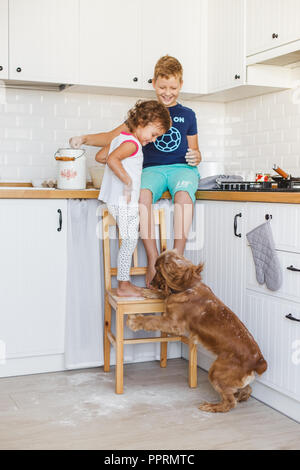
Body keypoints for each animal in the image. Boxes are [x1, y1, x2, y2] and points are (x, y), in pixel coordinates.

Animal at [126, 250, 268, 412]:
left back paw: (211, 406)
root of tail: (259, 360)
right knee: (246, 390)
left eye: (157, 269)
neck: (189, 286)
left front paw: (135, 321)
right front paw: (150, 292)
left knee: (230, 402)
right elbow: (166, 294)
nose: (150, 283)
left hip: (216, 372)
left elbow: (152, 320)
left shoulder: (173, 323)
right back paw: (239, 396)